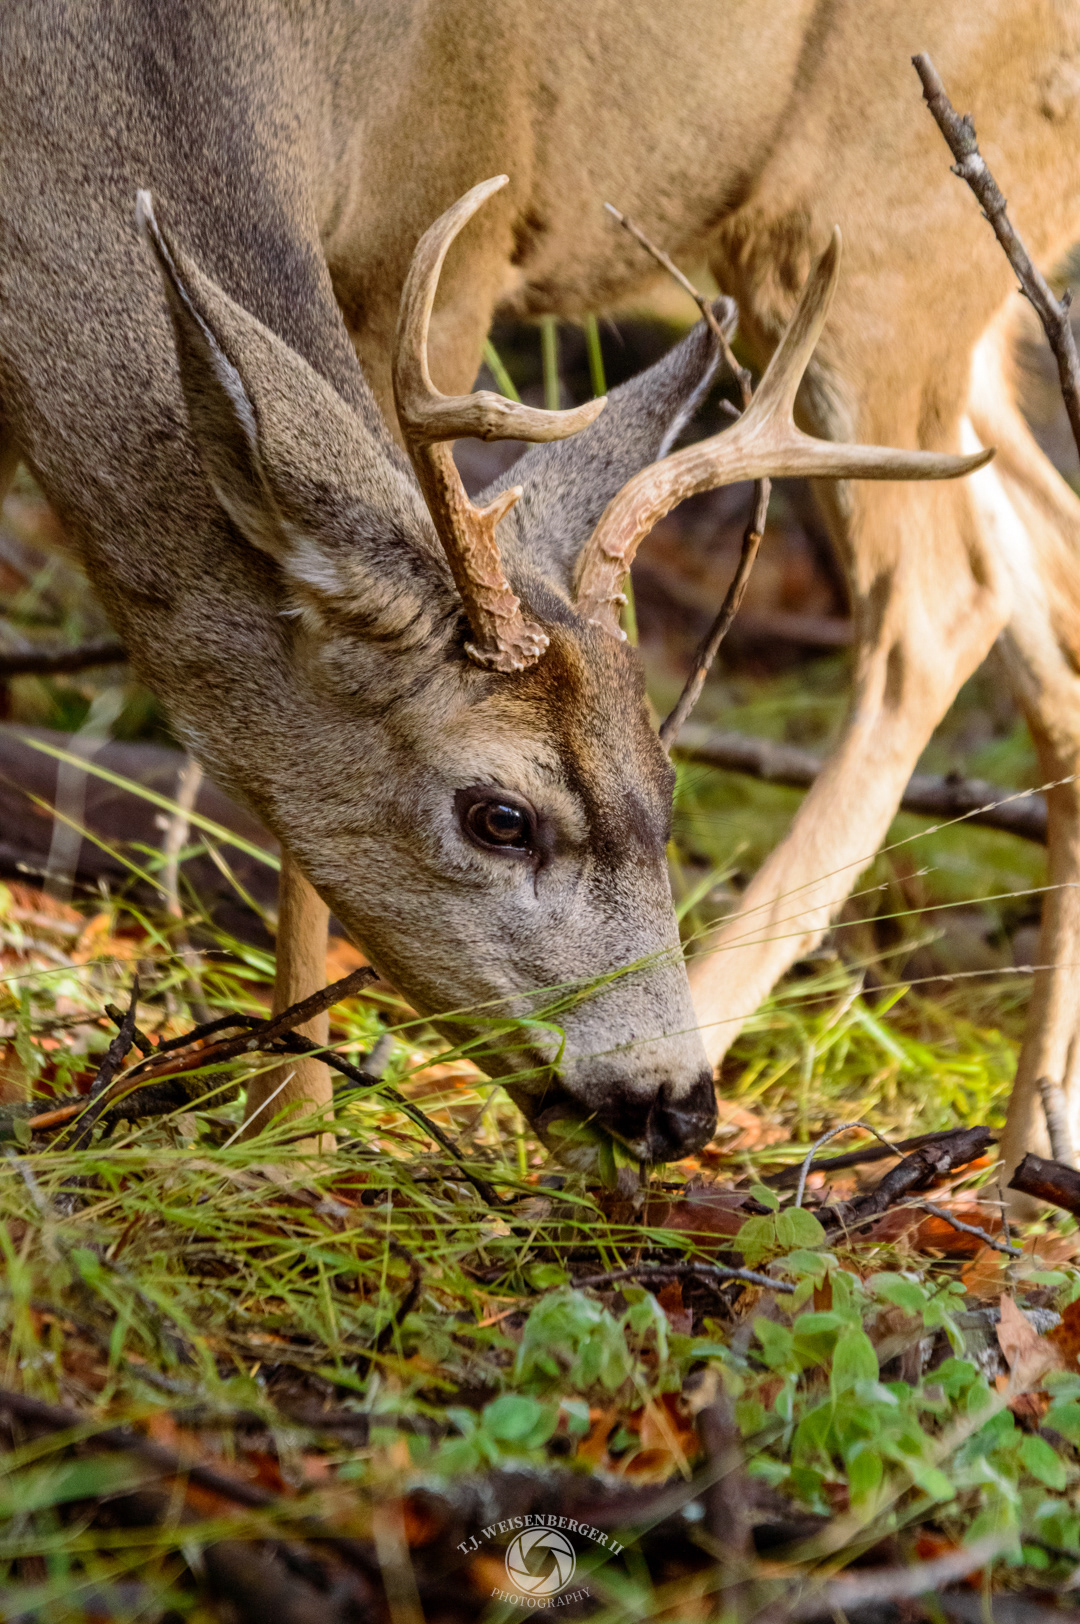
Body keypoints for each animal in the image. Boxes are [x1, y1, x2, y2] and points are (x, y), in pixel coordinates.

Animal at [0, 2, 1076, 1182]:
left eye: (666, 790)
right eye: (501, 818)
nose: (675, 1108)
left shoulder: (460, 208)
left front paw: (287, 1136)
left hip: (889, 236)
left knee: (941, 601)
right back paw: (1024, 1156)